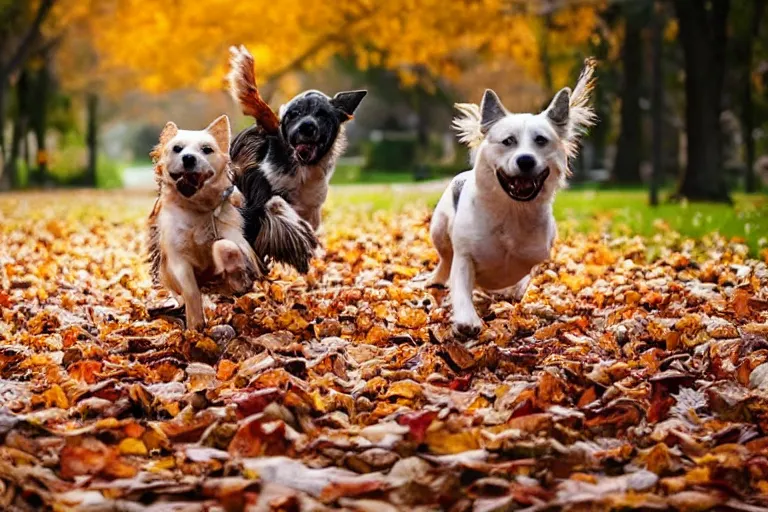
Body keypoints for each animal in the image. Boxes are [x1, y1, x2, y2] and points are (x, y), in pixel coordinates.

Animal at [225, 46, 366, 274]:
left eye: (322, 114)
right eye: (294, 114)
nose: (307, 127)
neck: (301, 170)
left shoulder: (311, 208)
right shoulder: (257, 190)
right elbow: (274, 209)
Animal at [428, 59, 596, 336]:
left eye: (541, 140)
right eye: (508, 141)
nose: (525, 160)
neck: (511, 211)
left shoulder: (537, 254)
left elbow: (525, 273)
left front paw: (512, 289)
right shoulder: (465, 256)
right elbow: (461, 284)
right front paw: (467, 320)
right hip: (439, 229)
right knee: (444, 258)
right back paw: (437, 281)